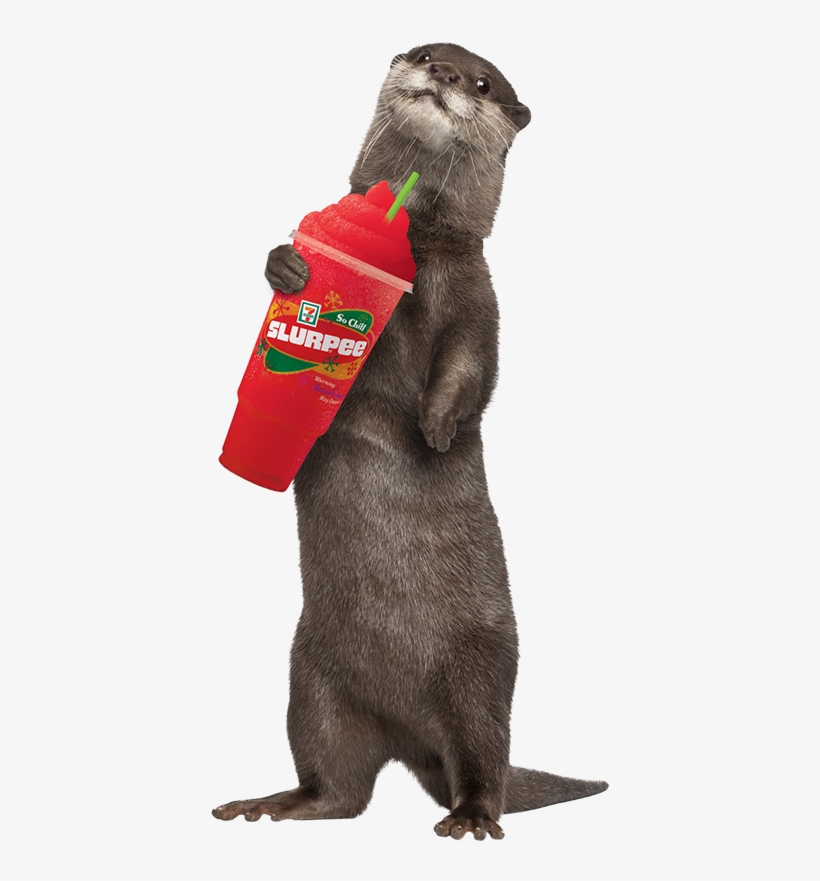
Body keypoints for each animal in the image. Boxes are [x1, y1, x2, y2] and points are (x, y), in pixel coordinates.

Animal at [213, 43, 607, 840]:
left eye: (483, 82)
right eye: (426, 53)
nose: (446, 76)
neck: (413, 254)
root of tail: (408, 738)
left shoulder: (480, 298)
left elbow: (473, 368)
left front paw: (435, 427)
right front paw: (288, 264)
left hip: (481, 669)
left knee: (483, 756)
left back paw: (471, 818)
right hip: (310, 682)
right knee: (339, 789)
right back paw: (273, 804)